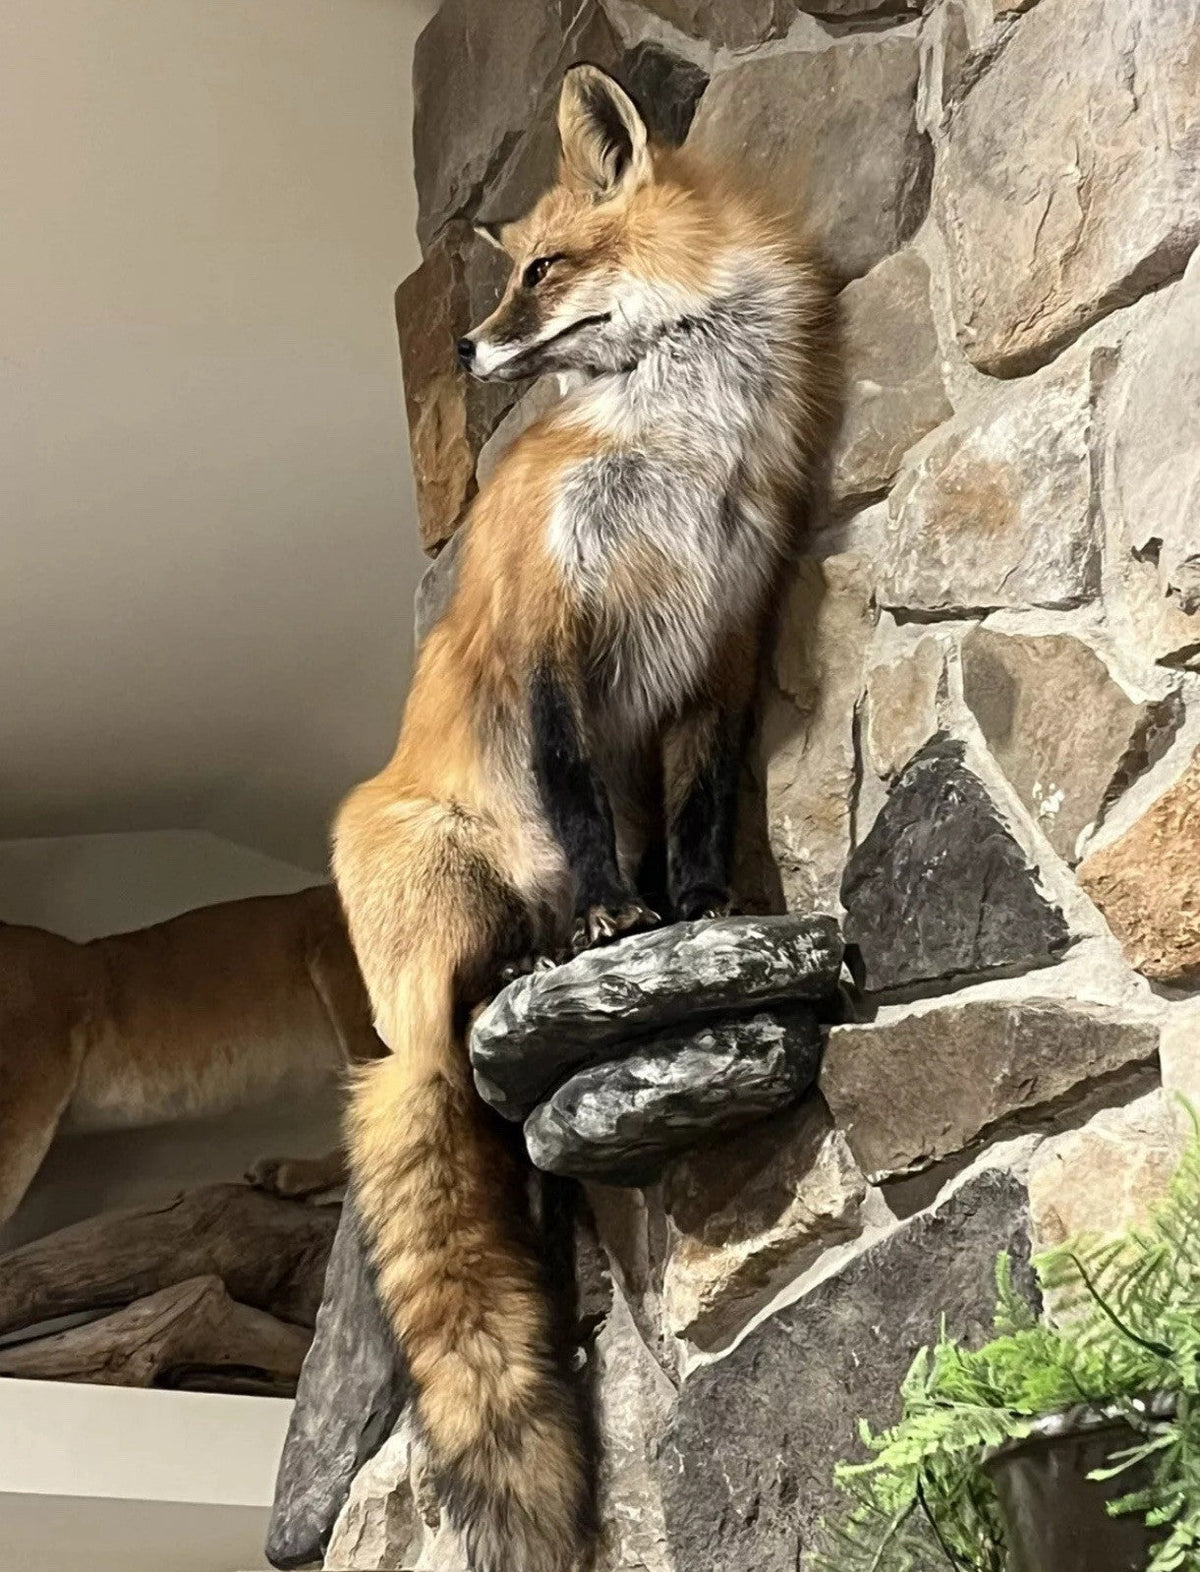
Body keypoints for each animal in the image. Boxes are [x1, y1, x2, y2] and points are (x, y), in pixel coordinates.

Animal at [332, 63, 837, 1572]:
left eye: (539, 273)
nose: (465, 352)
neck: (674, 445)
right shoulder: (551, 638)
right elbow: (580, 802)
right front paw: (621, 915)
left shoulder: (720, 646)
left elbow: (702, 807)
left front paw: (699, 909)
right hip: (446, 881)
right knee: (459, 1033)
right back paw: (547, 953)